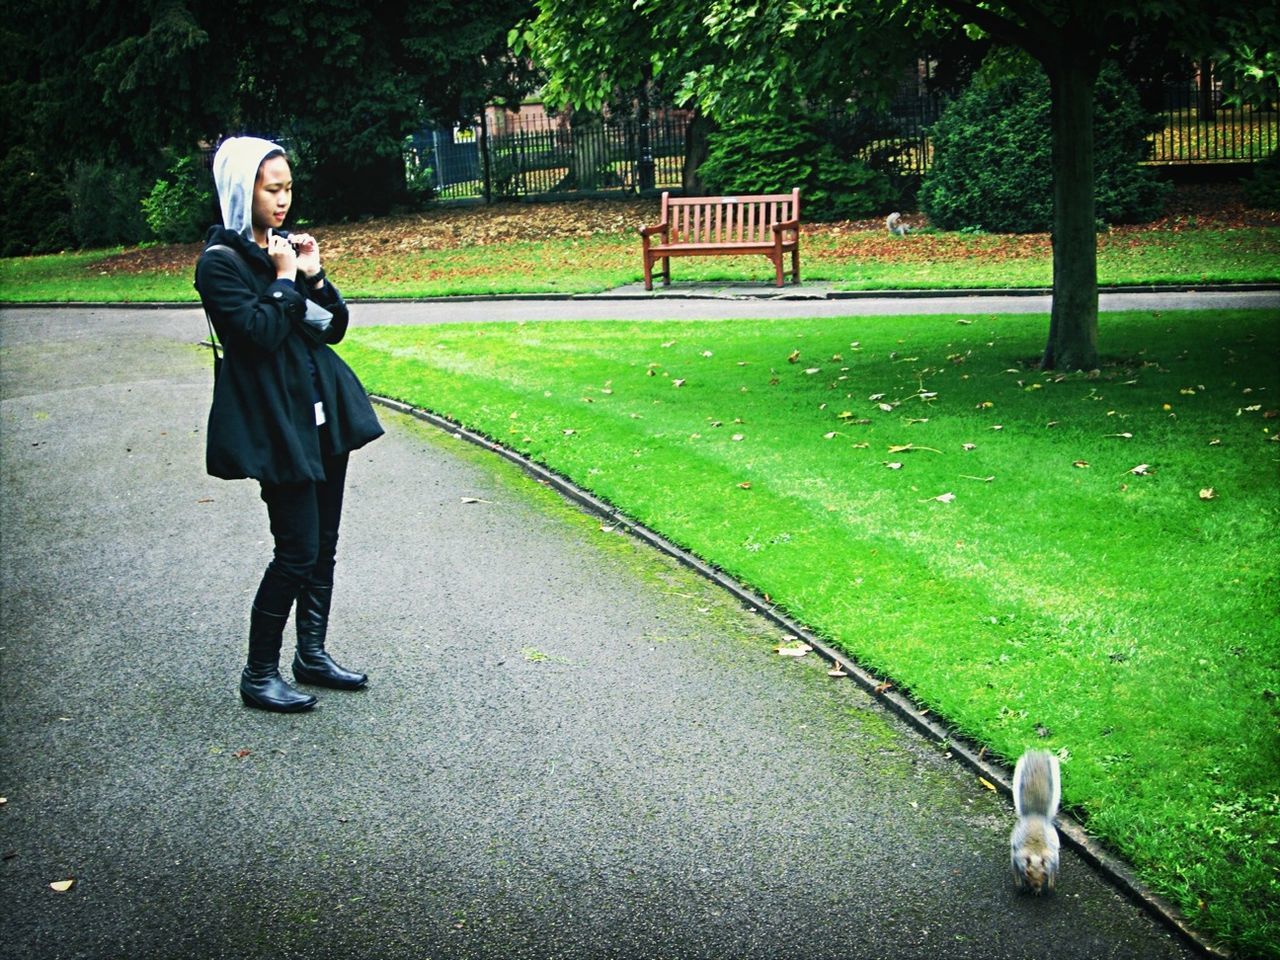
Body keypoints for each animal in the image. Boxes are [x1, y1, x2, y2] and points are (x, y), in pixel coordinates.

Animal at [1008, 752, 1059, 896]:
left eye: (1044, 873)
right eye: (1027, 872)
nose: (1036, 884)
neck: (1035, 852)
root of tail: (1035, 815)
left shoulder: (1053, 859)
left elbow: (1052, 871)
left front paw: (1042, 887)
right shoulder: (1016, 857)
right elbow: (1016, 871)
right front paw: (1021, 885)